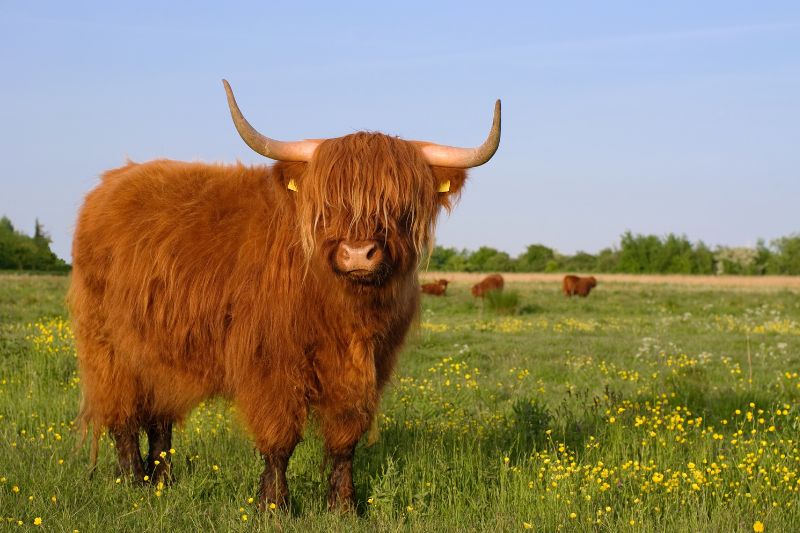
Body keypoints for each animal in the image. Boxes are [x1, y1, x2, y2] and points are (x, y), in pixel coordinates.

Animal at [68, 80, 500, 511]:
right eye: (329, 202)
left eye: (400, 204)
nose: (358, 253)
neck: (341, 308)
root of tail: (113, 181)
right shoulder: (271, 363)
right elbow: (279, 437)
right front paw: (273, 505)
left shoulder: (366, 368)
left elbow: (345, 437)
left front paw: (343, 506)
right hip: (107, 346)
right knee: (122, 413)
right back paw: (131, 480)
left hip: (159, 351)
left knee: (159, 416)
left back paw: (161, 480)